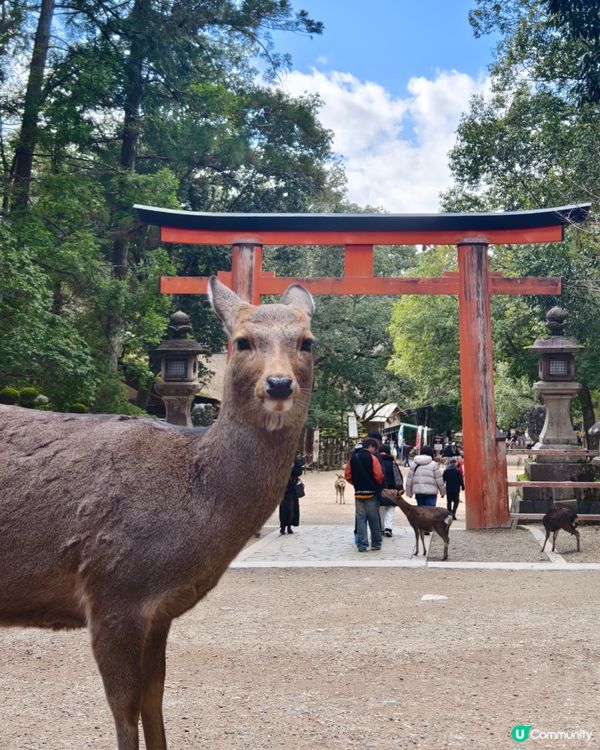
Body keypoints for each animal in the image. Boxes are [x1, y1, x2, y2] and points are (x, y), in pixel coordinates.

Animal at [0, 277, 314, 750]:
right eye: (242, 341)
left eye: (307, 341)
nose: (278, 384)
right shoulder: (112, 591)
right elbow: (125, 709)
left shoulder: (159, 612)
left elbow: (155, 698)